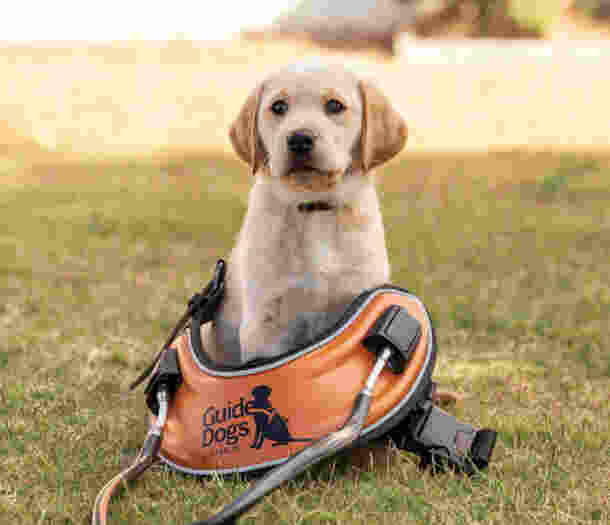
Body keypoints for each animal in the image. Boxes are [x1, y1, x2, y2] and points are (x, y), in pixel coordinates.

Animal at [202, 60, 406, 364]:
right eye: (278, 107)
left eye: (334, 106)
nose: (299, 139)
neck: (314, 208)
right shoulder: (265, 322)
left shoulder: (357, 297)